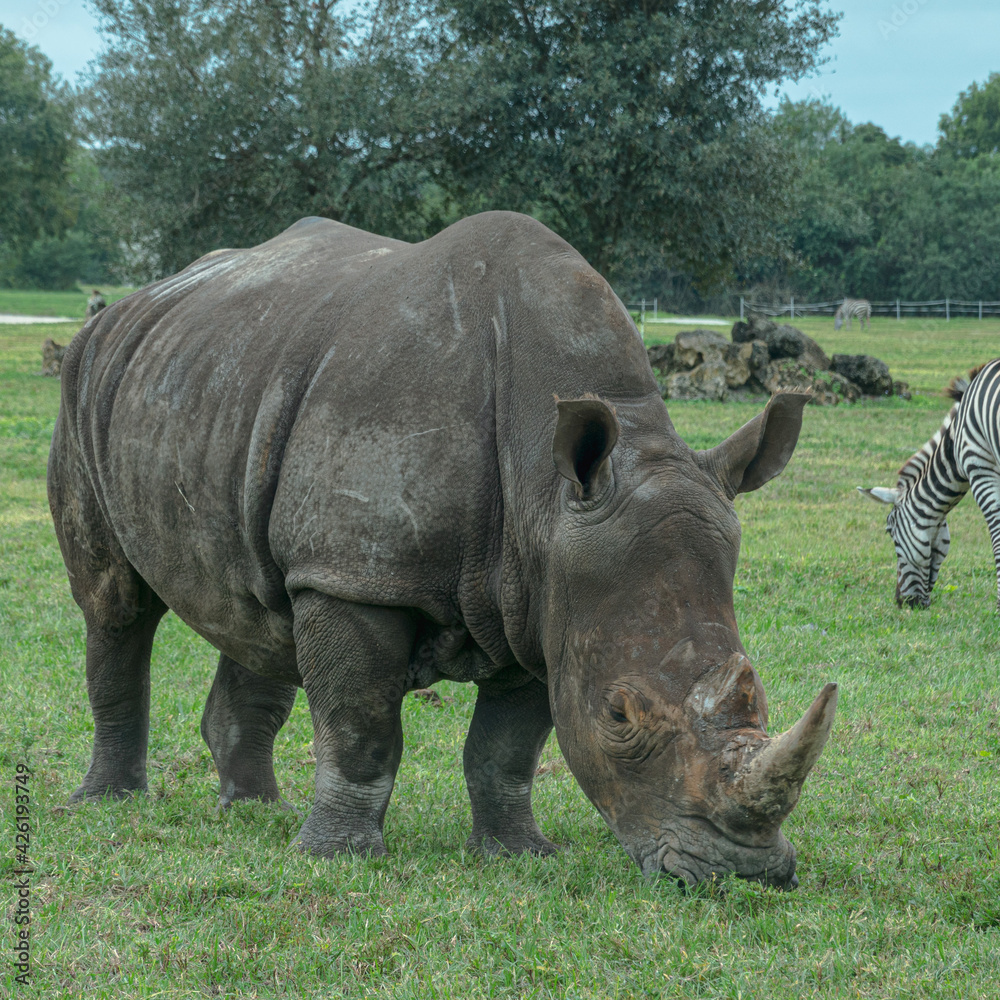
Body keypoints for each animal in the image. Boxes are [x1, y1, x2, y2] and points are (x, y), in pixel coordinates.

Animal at [48, 211, 836, 887]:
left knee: (260, 606)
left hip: (231, 387)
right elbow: (361, 725)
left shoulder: (542, 596)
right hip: (87, 382)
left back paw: (254, 810)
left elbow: (507, 746)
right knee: (115, 604)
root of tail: (132, 304)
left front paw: (519, 854)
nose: (744, 874)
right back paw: (111, 803)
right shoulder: (357, 574)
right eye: (619, 717)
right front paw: (336, 858)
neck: (543, 481)